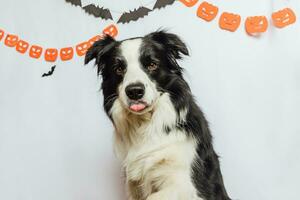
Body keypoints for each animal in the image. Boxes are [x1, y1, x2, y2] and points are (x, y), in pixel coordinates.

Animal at [85, 30, 231, 199]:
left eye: (152, 65)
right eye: (119, 68)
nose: (134, 91)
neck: (145, 124)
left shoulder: (186, 185)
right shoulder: (134, 185)